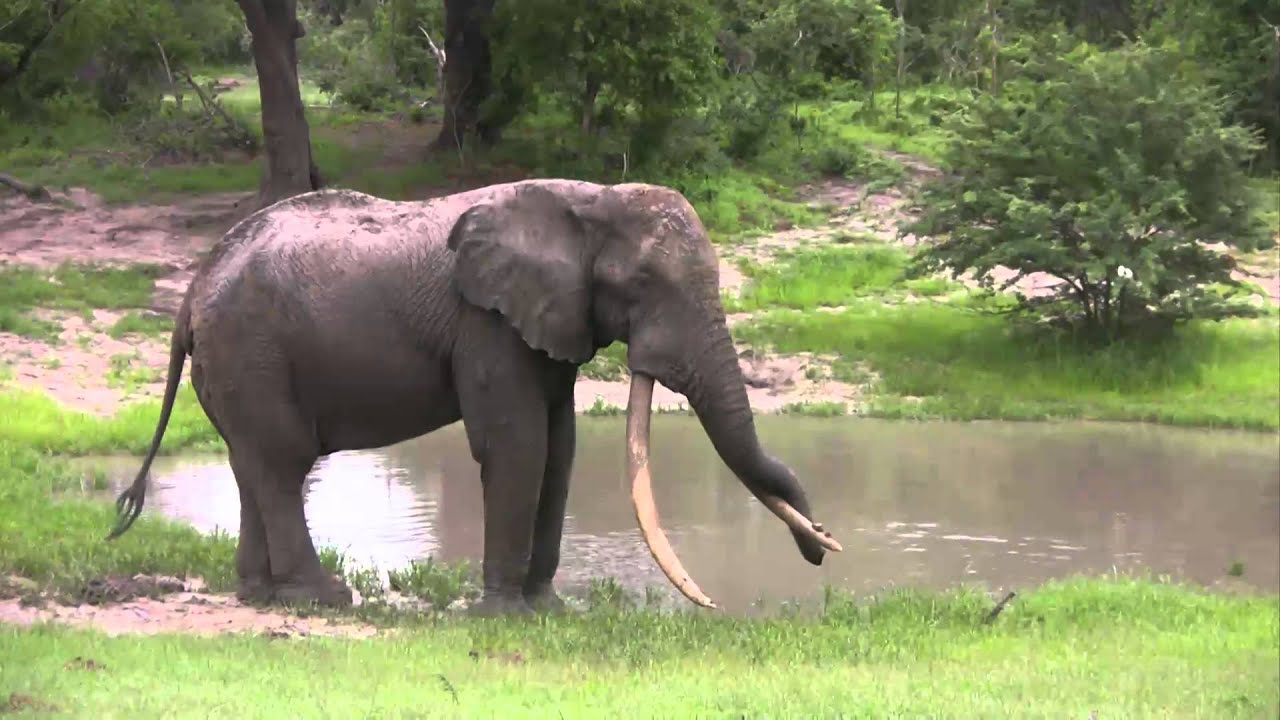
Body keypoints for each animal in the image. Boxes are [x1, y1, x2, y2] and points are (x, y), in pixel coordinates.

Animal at [106, 179, 842, 614]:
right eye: (640, 285)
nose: (823, 546)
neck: (588, 200)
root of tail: (192, 292)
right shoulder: (485, 322)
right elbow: (518, 443)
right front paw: (506, 615)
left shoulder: (544, 319)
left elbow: (561, 446)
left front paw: (546, 610)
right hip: (251, 349)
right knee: (283, 462)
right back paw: (323, 599)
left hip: (239, 361)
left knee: (253, 463)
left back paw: (263, 597)